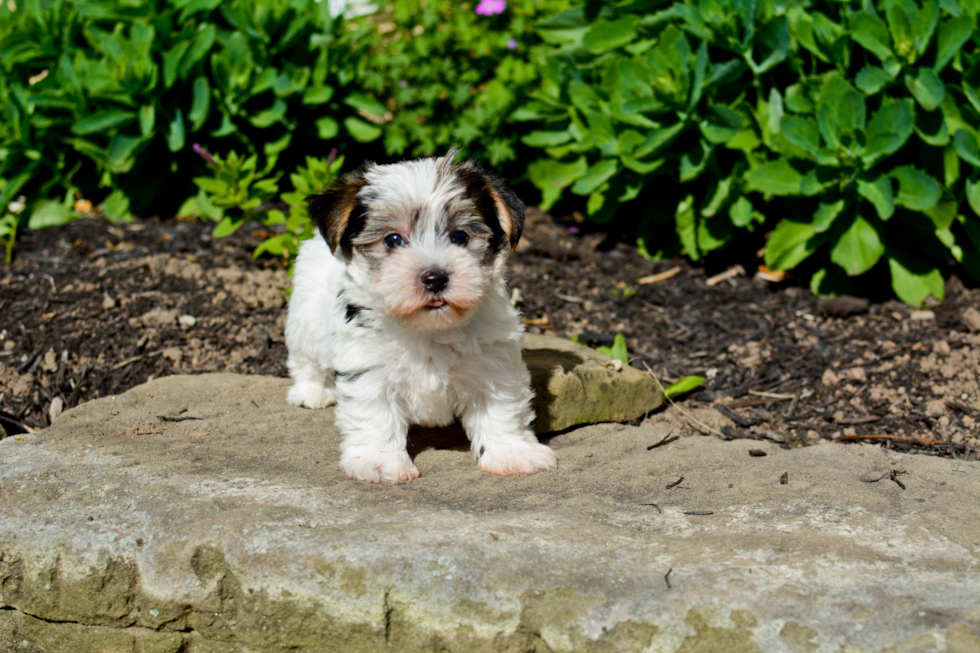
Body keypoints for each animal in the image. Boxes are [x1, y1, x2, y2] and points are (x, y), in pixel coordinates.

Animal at [286, 150, 560, 482]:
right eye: (392, 240)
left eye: (459, 236)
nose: (435, 278)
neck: (428, 328)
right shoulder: (367, 365)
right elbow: (374, 414)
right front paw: (379, 462)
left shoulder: (494, 365)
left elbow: (501, 409)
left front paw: (512, 454)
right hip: (305, 318)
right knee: (306, 359)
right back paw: (311, 392)